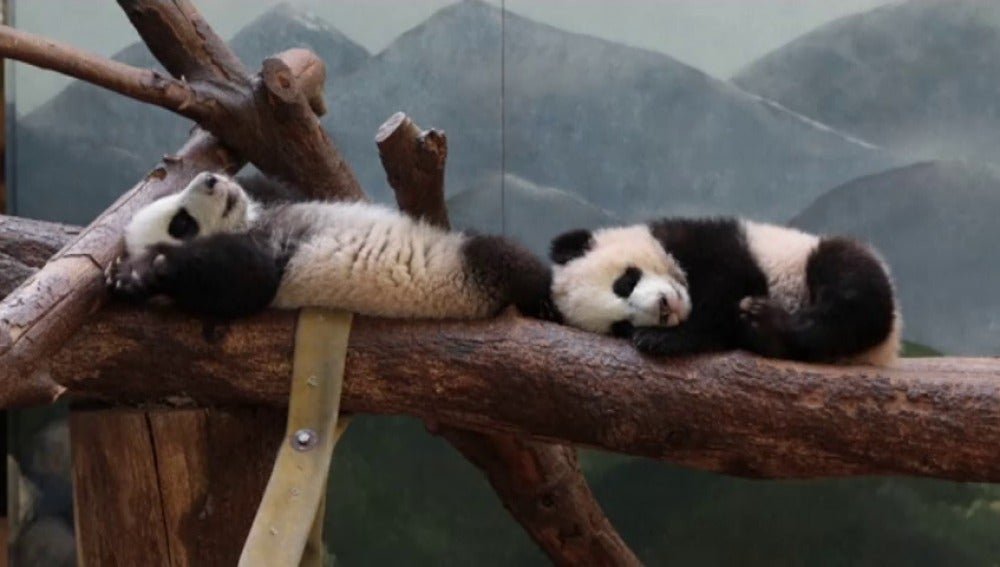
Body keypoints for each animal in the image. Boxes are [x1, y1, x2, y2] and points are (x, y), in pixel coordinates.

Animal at [110, 171, 552, 322]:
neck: (252, 222)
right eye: (181, 223)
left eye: (177, 201)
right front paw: (138, 274)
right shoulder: (273, 256)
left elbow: (279, 188)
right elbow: (248, 280)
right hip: (466, 276)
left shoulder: (277, 204)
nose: (209, 180)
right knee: (508, 259)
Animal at [549, 217, 901, 366]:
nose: (664, 309)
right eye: (621, 326)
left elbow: (726, 289)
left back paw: (770, 324)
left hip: (813, 257)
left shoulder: (713, 242)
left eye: (624, 282)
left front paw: (663, 339)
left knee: (851, 288)